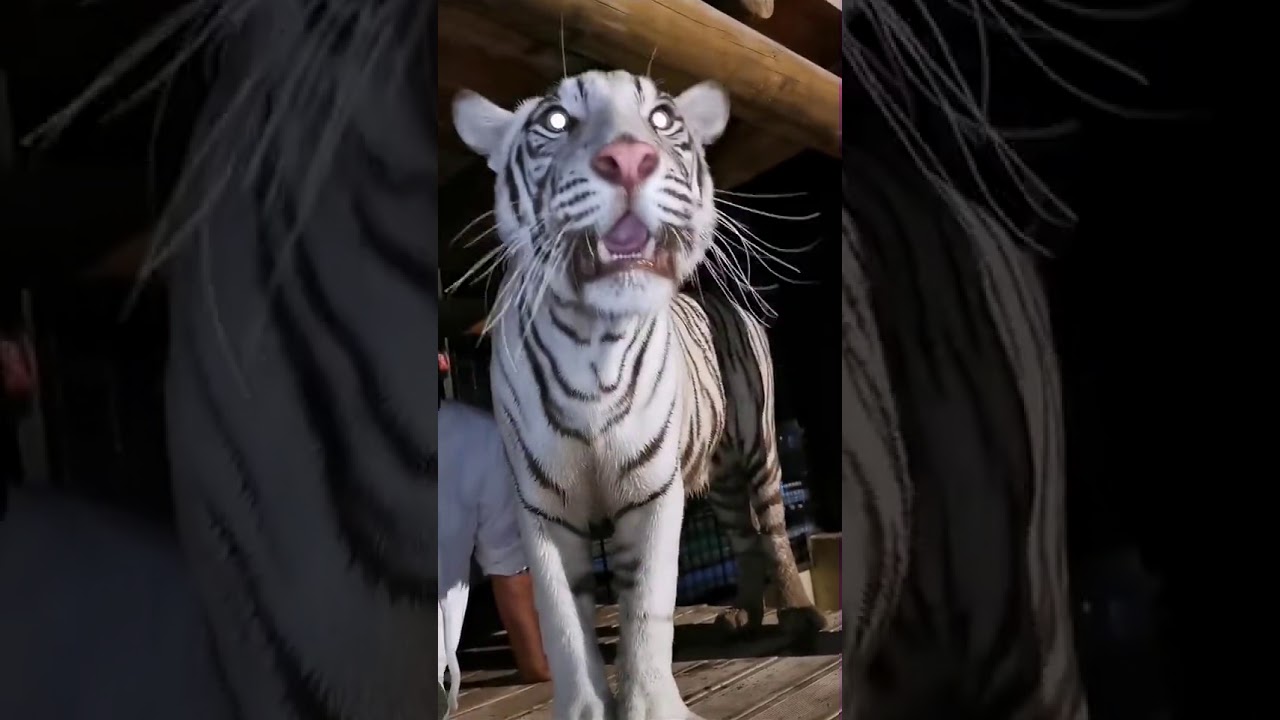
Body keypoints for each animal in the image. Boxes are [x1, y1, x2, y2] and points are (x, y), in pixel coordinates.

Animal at [451, 69, 825, 719]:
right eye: (555, 121)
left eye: (663, 119)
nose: (628, 159)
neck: (592, 341)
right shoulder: (543, 505)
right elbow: (564, 624)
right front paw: (583, 709)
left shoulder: (653, 490)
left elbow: (649, 609)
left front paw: (654, 706)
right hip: (720, 472)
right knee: (743, 537)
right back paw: (743, 617)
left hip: (758, 446)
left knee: (774, 532)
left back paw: (799, 617)